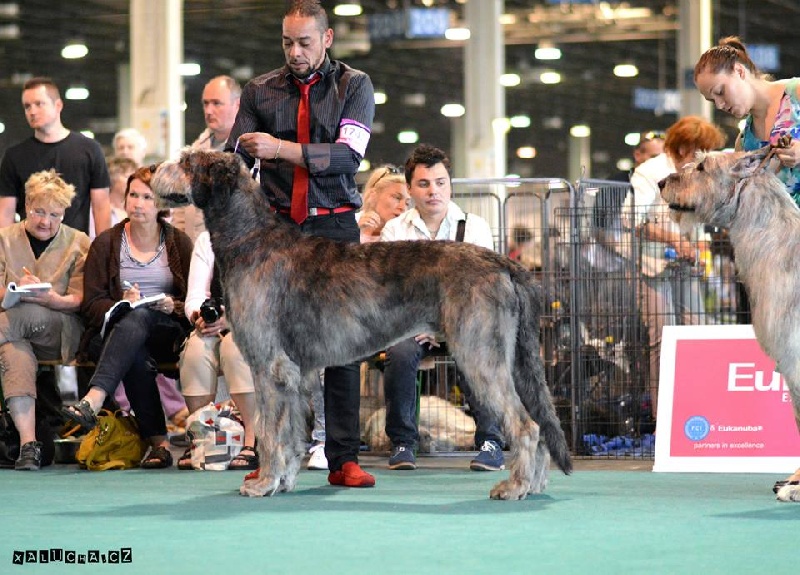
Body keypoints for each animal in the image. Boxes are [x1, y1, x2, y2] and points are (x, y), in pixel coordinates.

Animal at [153, 150, 572, 500]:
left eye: (186, 161)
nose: (153, 170)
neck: (251, 239)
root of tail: (503, 262)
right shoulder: (295, 373)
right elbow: (290, 432)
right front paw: (283, 480)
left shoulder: (269, 367)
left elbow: (271, 431)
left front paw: (262, 482)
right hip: (515, 358)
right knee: (539, 418)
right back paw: (534, 483)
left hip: (480, 354)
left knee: (526, 424)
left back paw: (514, 486)